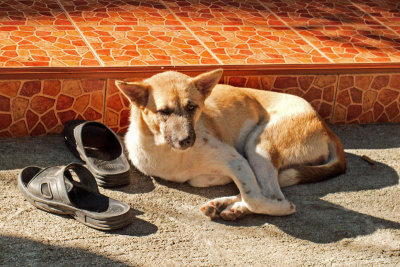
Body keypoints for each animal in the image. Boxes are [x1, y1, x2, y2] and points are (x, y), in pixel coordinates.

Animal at [115, 69, 346, 222]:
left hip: (258, 147)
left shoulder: (236, 160)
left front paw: (281, 209)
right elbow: (245, 189)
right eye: (163, 111)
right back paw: (225, 206)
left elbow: (255, 196)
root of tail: (326, 127)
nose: (187, 140)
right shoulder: (208, 176)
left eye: (192, 107)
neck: (168, 152)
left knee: (272, 192)